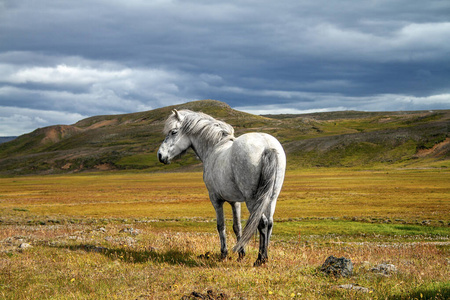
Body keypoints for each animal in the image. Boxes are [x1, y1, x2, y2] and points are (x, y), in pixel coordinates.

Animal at [158, 109, 284, 264]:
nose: (160, 155)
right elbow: (237, 227)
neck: (214, 147)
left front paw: (224, 253)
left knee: (262, 223)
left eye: (173, 132)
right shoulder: (235, 202)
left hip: (252, 199)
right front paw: (241, 253)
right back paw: (264, 257)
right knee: (270, 223)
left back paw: (260, 259)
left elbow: (221, 226)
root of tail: (267, 145)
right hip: (271, 198)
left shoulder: (215, 199)